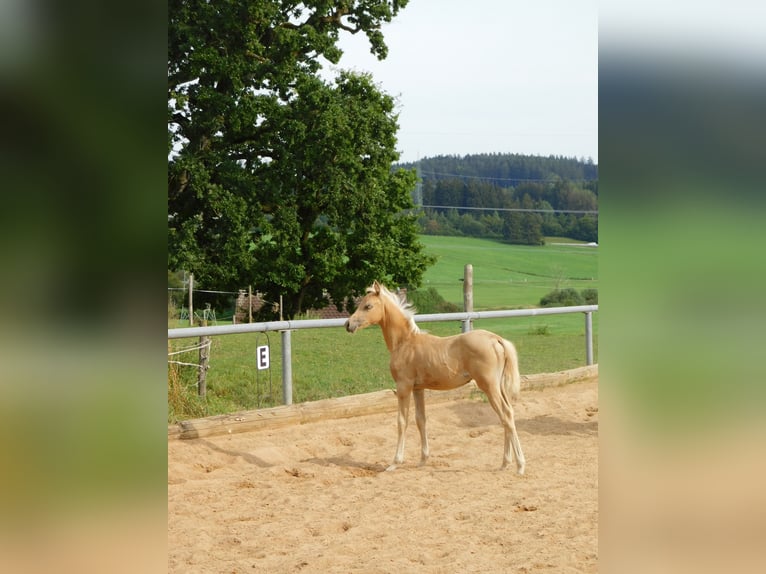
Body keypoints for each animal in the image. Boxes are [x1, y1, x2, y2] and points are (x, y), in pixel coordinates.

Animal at [344, 282, 524, 474]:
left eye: (368, 306)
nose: (348, 324)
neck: (405, 342)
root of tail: (496, 340)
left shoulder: (403, 387)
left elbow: (402, 421)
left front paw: (394, 463)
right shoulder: (418, 388)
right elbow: (420, 420)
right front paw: (423, 460)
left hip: (489, 386)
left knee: (506, 415)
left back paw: (519, 465)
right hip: (499, 386)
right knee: (508, 414)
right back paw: (505, 463)